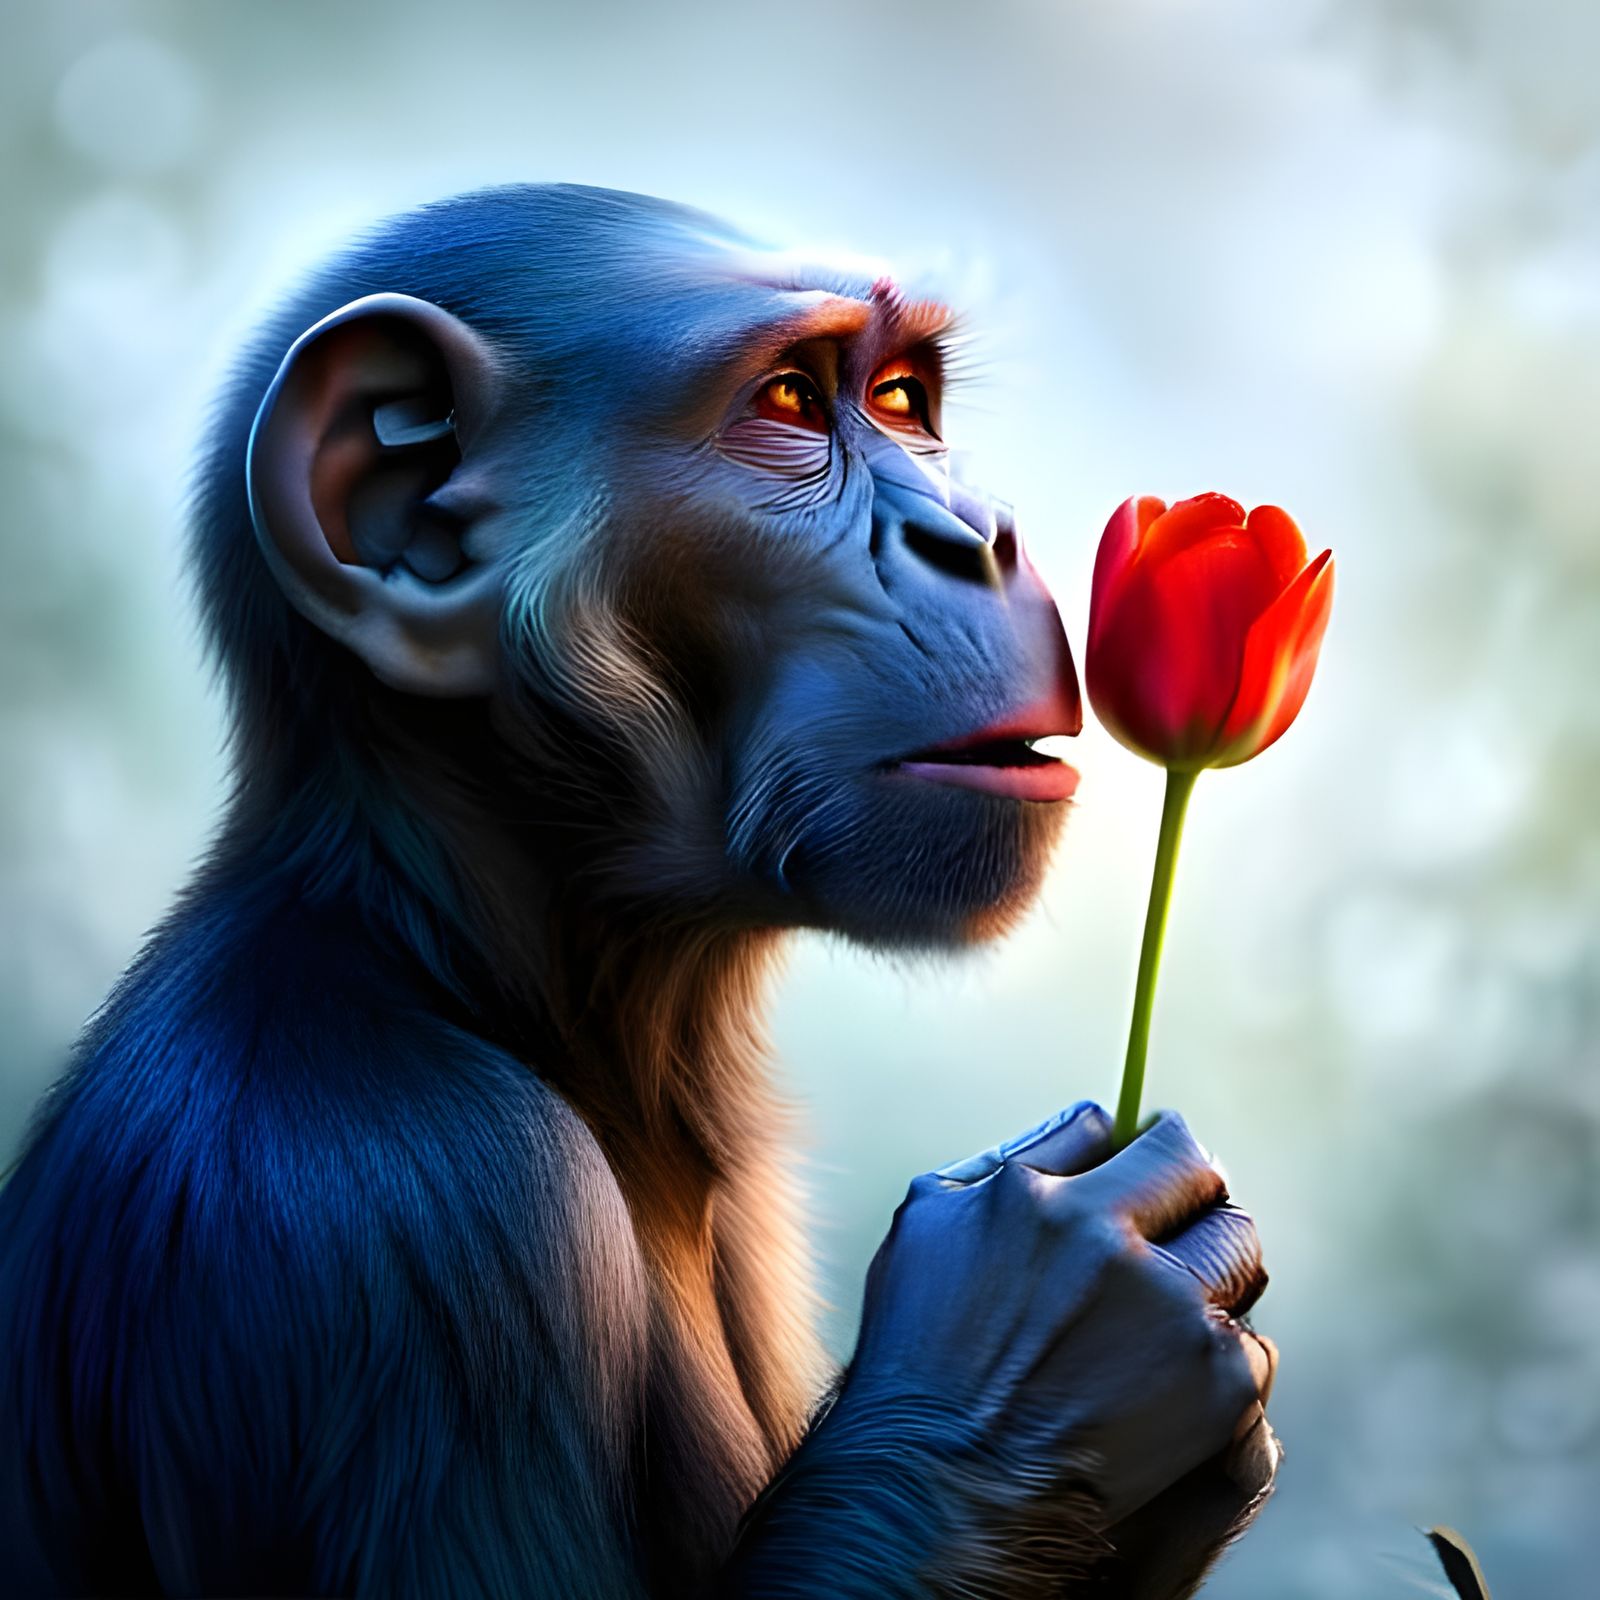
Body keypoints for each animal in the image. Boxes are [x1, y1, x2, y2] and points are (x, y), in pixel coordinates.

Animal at [0, 185, 1280, 1598]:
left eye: (898, 400)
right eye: (788, 400)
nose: (979, 535)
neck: (486, 963)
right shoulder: (406, 1208)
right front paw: (1049, 1337)